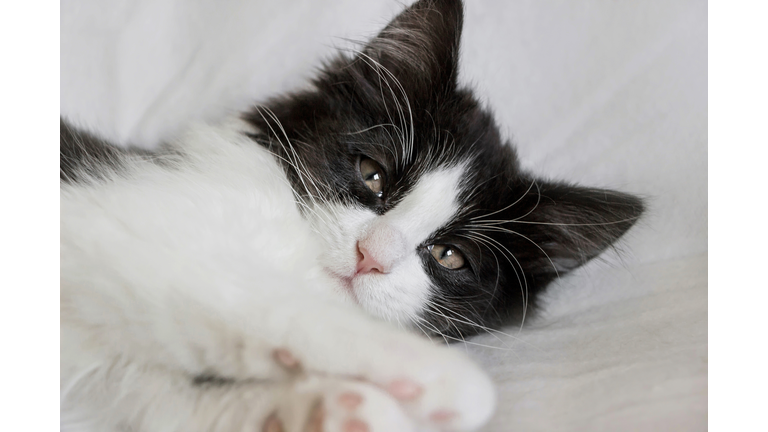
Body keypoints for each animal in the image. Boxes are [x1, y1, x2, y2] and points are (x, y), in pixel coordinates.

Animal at [63, 0, 644, 432]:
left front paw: (330, 409)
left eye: (449, 255)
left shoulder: (110, 374)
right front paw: (446, 379)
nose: (371, 256)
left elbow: (154, 396)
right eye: (373, 175)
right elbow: (250, 296)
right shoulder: (110, 223)